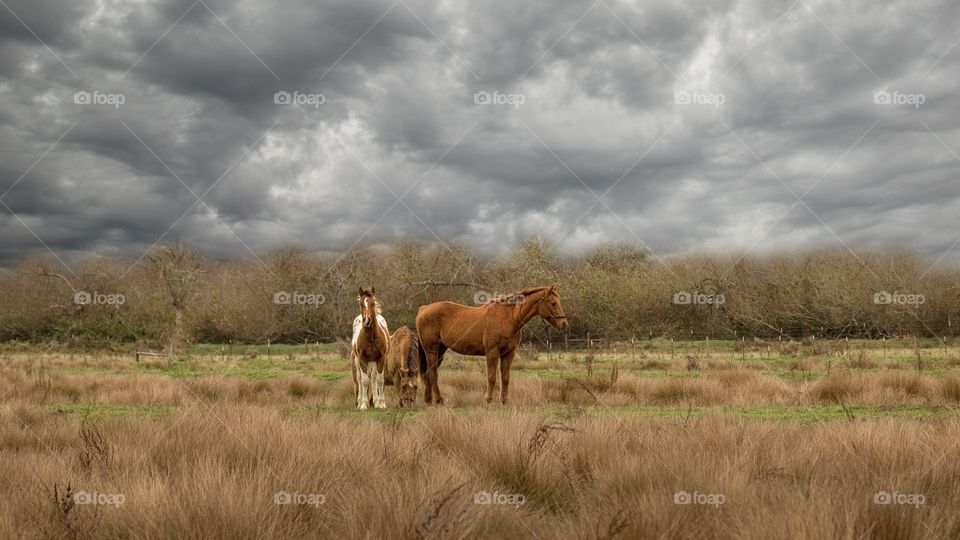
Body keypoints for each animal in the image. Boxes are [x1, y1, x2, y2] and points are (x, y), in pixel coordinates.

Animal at [415, 285, 568, 406]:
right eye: (553, 303)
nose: (564, 324)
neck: (507, 318)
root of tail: (423, 309)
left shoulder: (509, 353)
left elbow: (505, 378)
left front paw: (505, 401)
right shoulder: (492, 352)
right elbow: (492, 377)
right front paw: (489, 401)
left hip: (440, 350)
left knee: (428, 374)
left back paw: (428, 400)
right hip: (431, 349)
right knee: (432, 373)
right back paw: (439, 401)